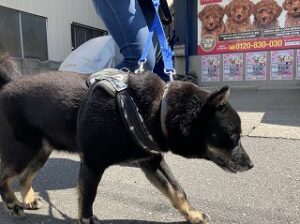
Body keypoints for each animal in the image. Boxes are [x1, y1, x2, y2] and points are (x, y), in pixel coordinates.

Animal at [0, 56, 253, 224]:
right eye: (234, 138)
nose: (251, 165)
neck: (158, 110)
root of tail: (8, 84)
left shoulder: (152, 161)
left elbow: (177, 190)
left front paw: (192, 214)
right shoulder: (92, 163)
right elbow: (88, 196)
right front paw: (87, 219)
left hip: (40, 150)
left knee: (24, 177)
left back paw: (28, 199)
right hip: (23, 150)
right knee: (5, 177)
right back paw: (12, 204)